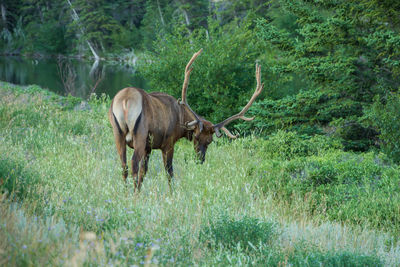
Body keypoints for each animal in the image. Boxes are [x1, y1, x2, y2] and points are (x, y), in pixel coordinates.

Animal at [109, 49, 264, 192]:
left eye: (210, 141)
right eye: (196, 136)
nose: (200, 160)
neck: (181, 121)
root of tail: (125, 100)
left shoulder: (149, 147)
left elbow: (144, 171)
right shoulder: (168, 142)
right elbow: (169, 172)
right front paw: (172, 194)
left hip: (118, 133)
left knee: (124, 166)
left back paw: (126, 193)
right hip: (140, 133)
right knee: (133, 164)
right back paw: (134, 195)